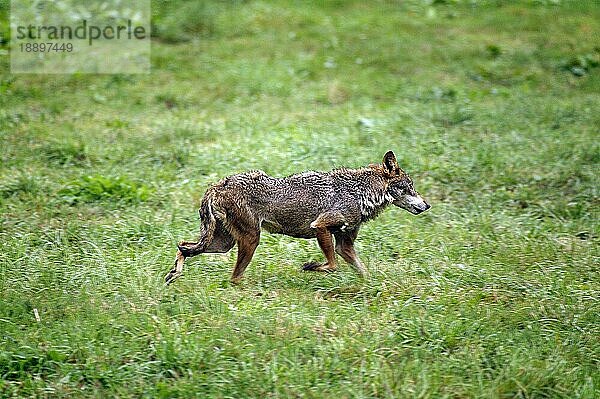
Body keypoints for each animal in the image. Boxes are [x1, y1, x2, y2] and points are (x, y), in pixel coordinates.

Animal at [164, 152, 426, 286]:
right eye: (410, 187)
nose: (427, 205)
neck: (361, 192)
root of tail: (218, 184)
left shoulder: (345, 245)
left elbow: (362, 271)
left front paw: (372, 287)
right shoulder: (320, 227)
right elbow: (332, 266)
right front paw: (309, 266)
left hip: (223, 244)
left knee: (183, 246)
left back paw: (173, 274)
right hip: (249, 240)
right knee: (233, 277)